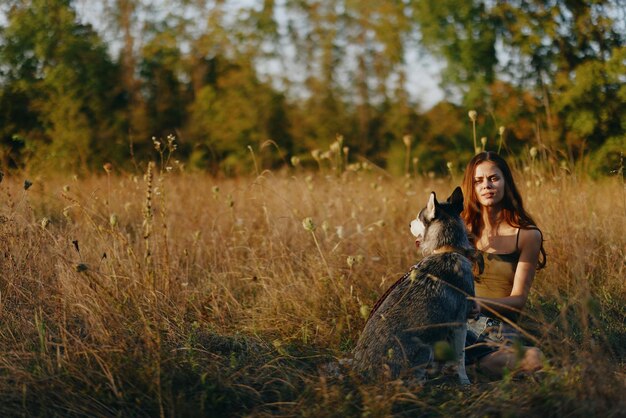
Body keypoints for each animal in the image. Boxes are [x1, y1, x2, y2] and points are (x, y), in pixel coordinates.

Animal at [352, 188, 472, 384]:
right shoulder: (460, 322)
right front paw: (465, 382)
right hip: (425, 351)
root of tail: (361, 371)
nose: (408, 224)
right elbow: (460, 359)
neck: (446, 249)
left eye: (417, 217)